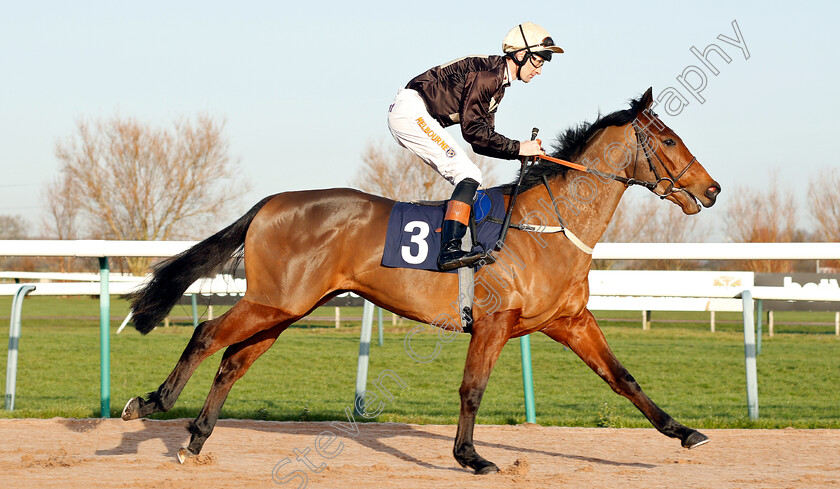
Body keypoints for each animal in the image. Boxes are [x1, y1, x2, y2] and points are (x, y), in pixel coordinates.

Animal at [120, 87, 720, 472]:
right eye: (668, 140)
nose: (711, 189)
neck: (547, 224)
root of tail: (270, 202)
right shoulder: (494, 322)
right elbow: (473, 389)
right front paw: (471, 457)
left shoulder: (569, 321)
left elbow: (624, 378)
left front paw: (684, 432)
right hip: (275, 300)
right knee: (207, 336)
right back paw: (150, 405)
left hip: (287, 307)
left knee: (231, 360)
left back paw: (195, 441)